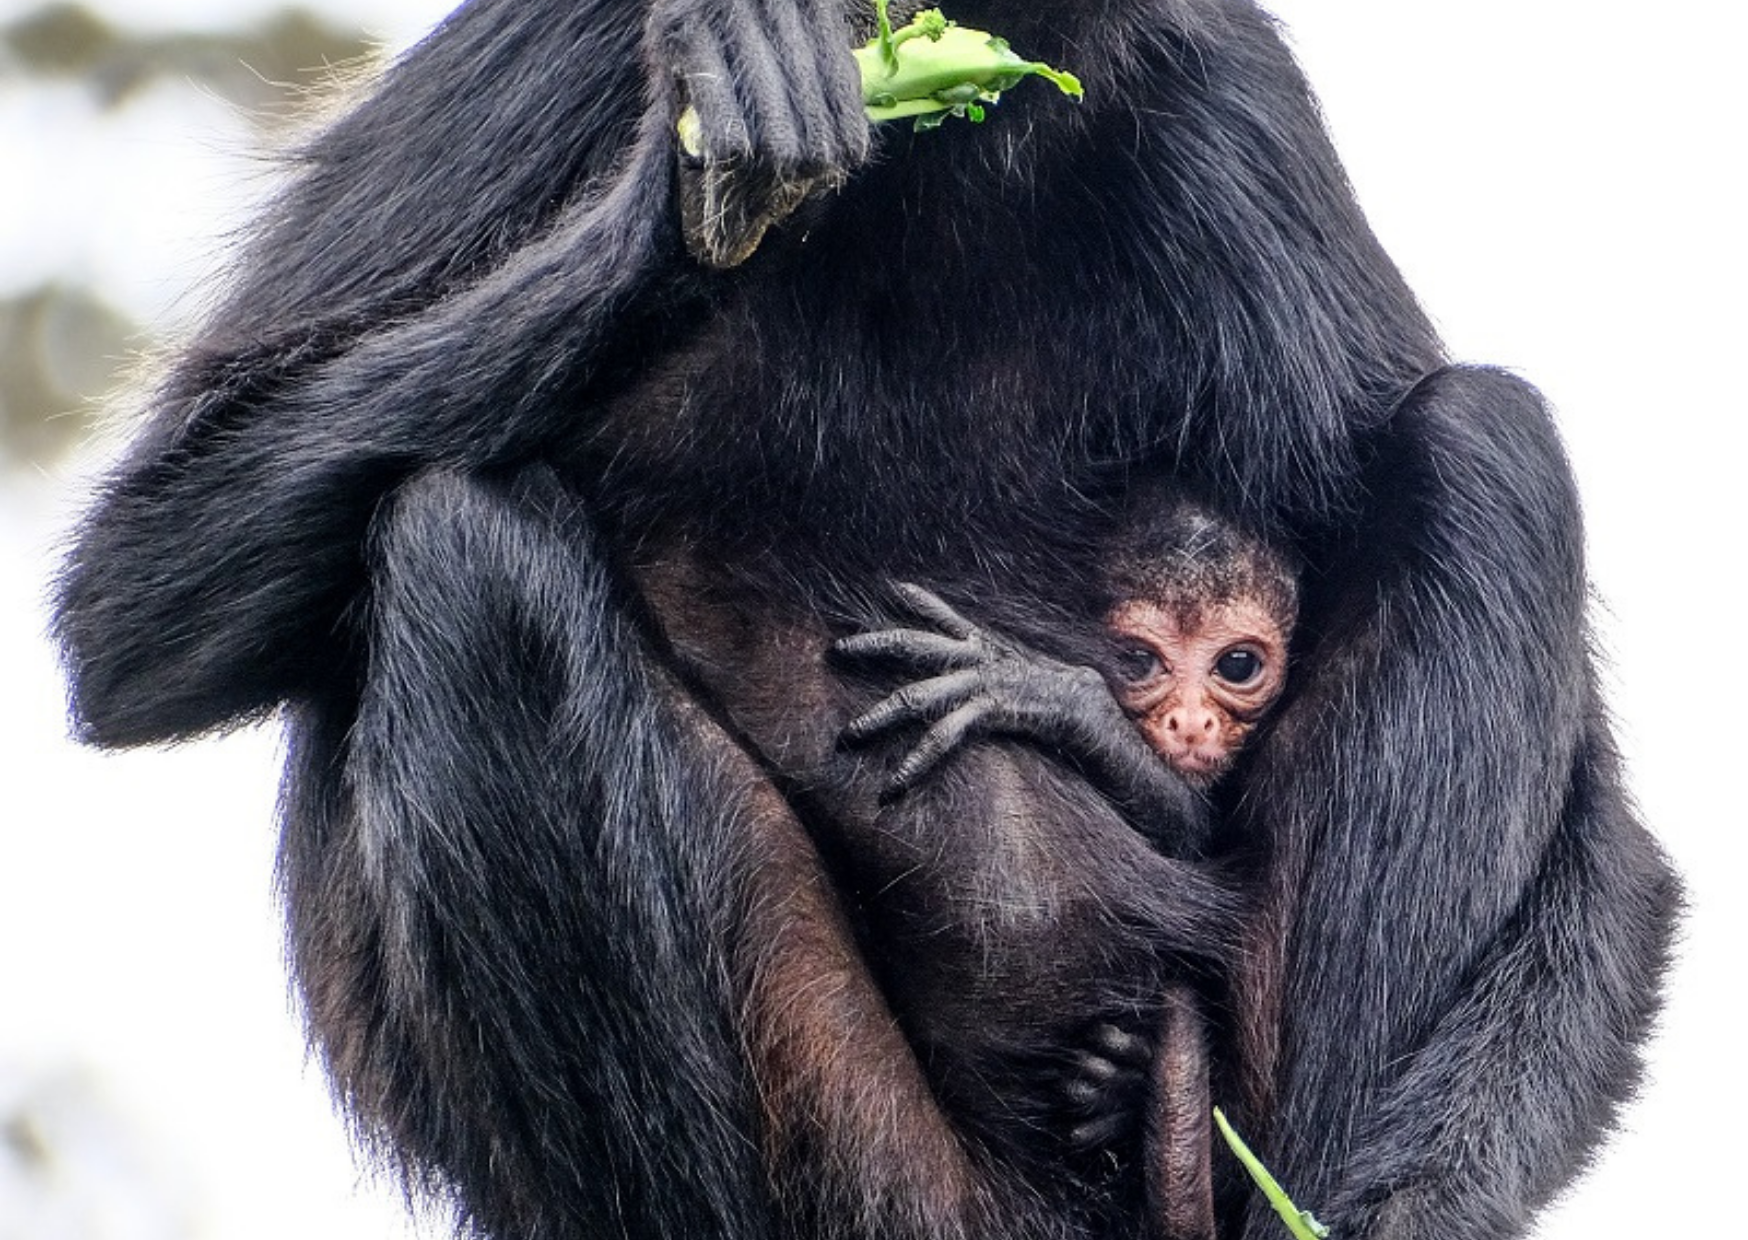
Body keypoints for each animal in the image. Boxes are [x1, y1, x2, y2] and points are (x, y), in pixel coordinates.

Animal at [54, 2, 1671, 1238]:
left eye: (1235, 663)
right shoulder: (556, 31)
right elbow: (137, 612)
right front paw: (705, 162)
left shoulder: (1224, 71)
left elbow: (1618, 864)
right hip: (865, 1151)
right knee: (460, 544)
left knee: (1483, 441)